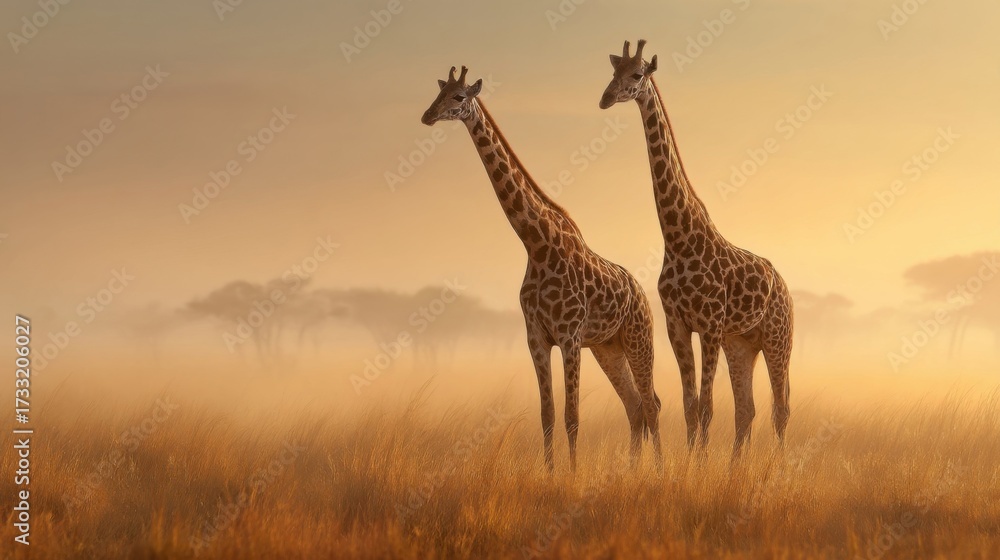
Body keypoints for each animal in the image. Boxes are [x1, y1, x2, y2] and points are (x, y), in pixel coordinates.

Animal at [421, 66, 662, 471]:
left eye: (458, 97)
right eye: (438, 94)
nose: (427, 116)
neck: (536, 244)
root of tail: (642, 294)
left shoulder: (569, 336)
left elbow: (572, 416)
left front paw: (573, 475)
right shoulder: (535, 336)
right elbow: (547, 414)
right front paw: (550, 474)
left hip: (638, 338)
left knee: (652, 402)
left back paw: (656, 470)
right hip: (608, 348)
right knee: (635, 405)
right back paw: (631, 470)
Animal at [599, 40, 793, 456]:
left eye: (637, 74)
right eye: (612, 73)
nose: (605, 98)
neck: (677, 237)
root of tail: (785, 288)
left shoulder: (711, 325)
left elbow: (706, 407)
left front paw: (699, 463)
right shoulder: (677, 325)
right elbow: (690, 406)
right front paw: (691, 463)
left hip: (778, 337)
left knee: (781, 407)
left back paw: (780, 466)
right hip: (743, 344)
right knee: (748, 409)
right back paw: (737, 466)